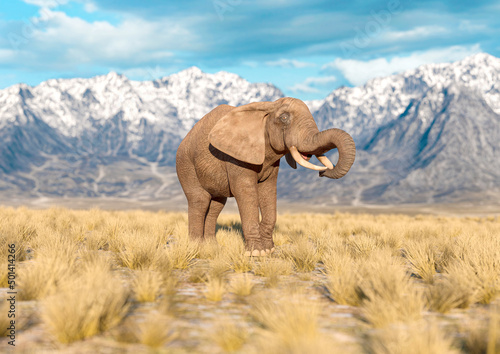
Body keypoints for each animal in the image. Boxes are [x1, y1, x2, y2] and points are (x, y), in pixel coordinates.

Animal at [176, 97, 356, 258]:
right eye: (284, 118)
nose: (322, 172)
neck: (268, 106)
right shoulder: (236, 155)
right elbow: (245, 191)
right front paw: (256, 253)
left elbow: (268, 190)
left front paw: (269, 250)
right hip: (185, 163)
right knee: (200, 200)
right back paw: (197, 248)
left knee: (216, 205)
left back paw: (212, 246)